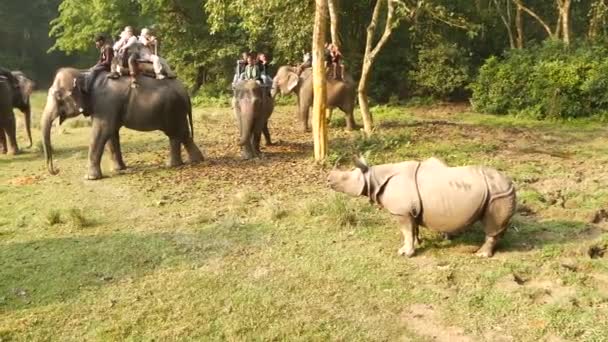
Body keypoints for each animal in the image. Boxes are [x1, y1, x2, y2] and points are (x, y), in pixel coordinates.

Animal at [42, 67, 205, 179]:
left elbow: (102, 131)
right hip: (176, 111)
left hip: (172, 109)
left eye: (58, 96)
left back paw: (175, 164)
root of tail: (185, 91)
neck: (85, 74)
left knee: (175, 133)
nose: (56, 170)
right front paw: (118, 169)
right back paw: (192, 161)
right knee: (182, 133)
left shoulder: (106, 103)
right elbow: (111, 133)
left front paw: (90, 178)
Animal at [328, 157, 516, 256]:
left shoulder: (401, 212)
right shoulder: (410, 210)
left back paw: (481, 255)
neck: (374, 178)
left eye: (345, 178)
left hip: (498, 193)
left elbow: (406, 231)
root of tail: (510, 183)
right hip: (497, 192)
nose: (328, 179)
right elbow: (413, 229)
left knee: (492, 225)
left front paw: (405, 253)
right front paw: (418, 242)